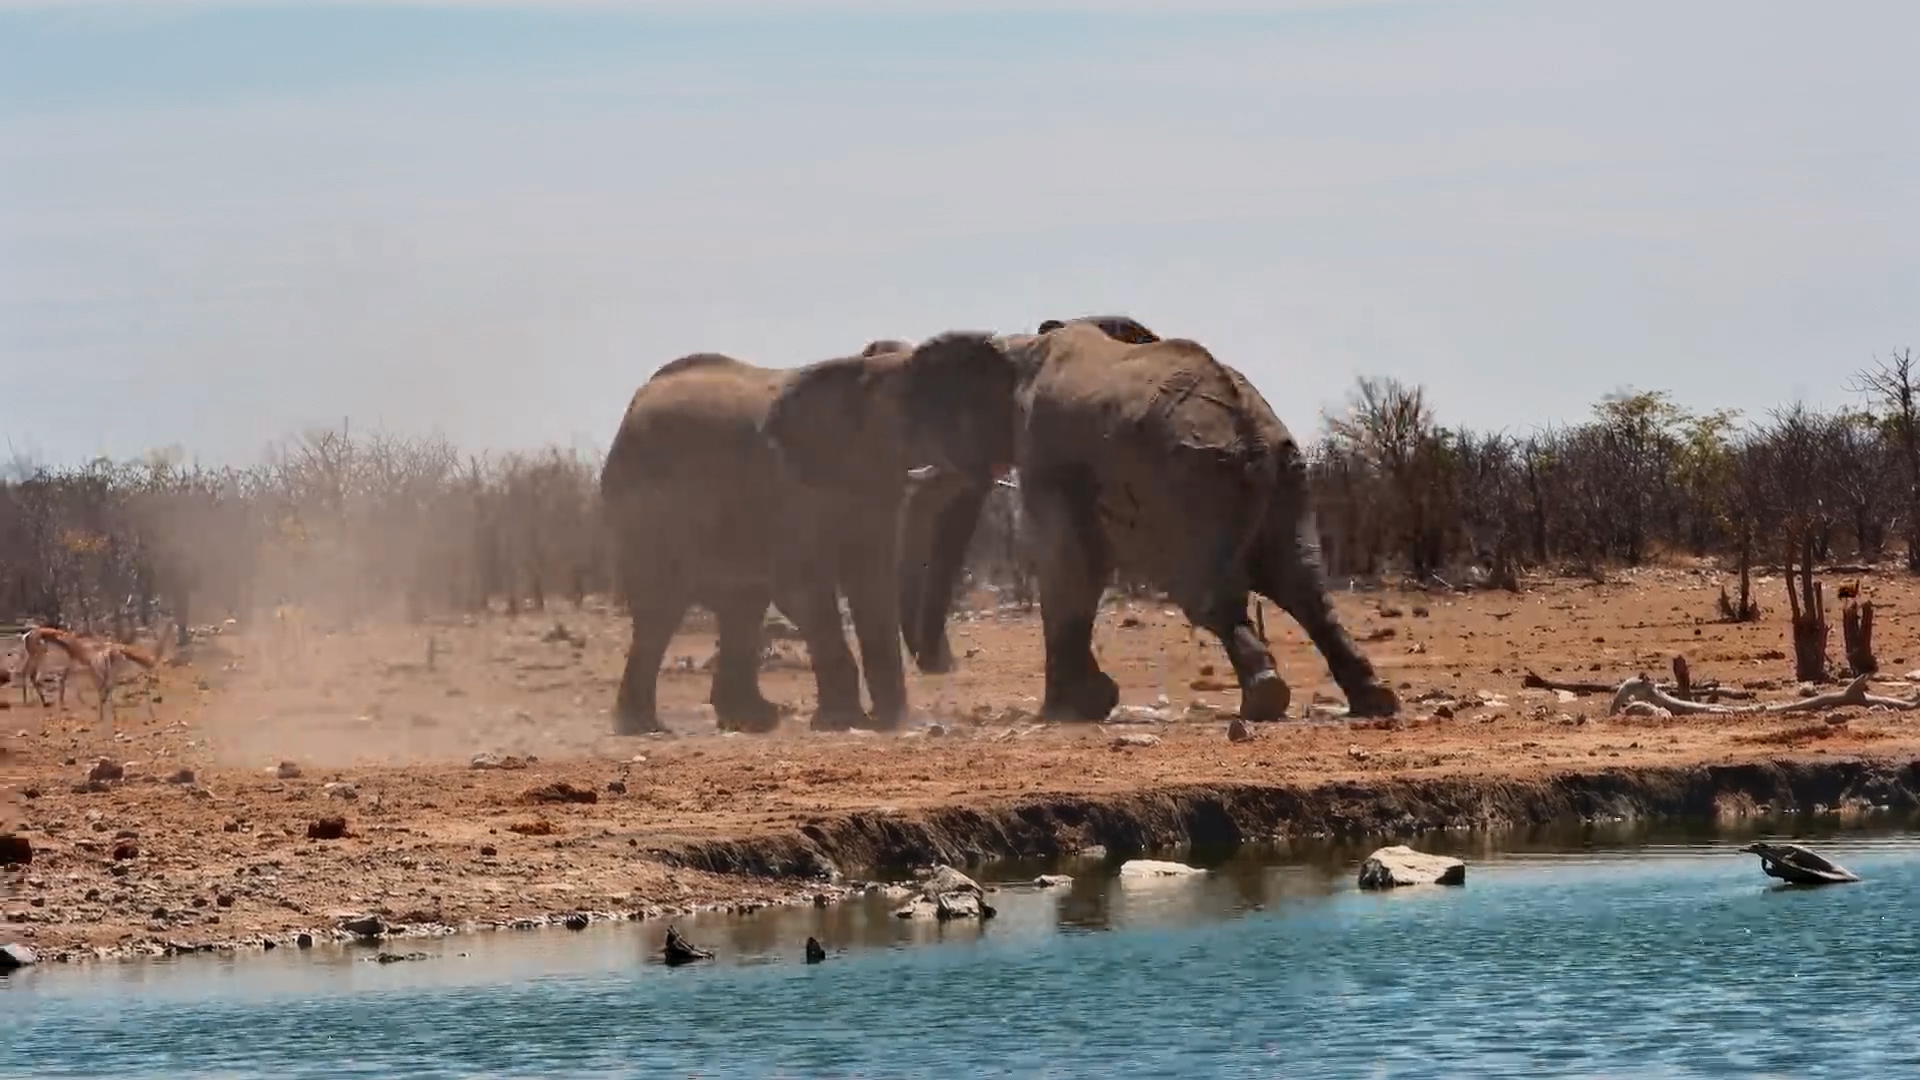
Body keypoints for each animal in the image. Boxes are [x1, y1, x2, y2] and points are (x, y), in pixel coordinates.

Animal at [598, 334, 1013, 735]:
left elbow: (871, 581)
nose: (942, 665)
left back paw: (753, 721)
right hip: (642, 507)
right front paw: (843, 721)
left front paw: (885, 722)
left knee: (742, 606)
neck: (866, 370)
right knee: (663, 608)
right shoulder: (791, 489)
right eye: (908, 416)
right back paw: (644, 726)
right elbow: (801, 588)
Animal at [898, 316, 1400, 723]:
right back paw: (1372, 700)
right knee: (1306, 588)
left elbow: (1065, 562)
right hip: (1286, 479)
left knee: (1209, 594)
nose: (938, 667)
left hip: (1195, 486)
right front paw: (1092, 702)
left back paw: (1266, 701)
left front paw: (1072, 709)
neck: (1019, 347)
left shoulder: (1044, 452)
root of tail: (1253, 433)